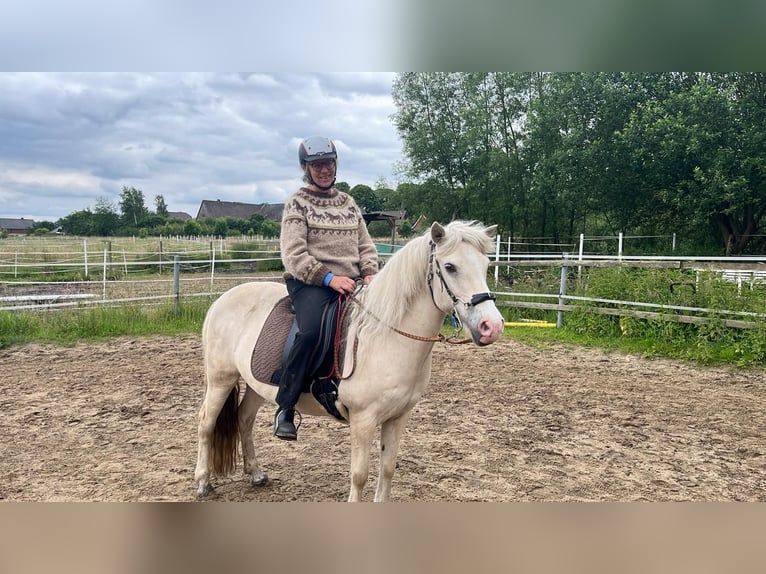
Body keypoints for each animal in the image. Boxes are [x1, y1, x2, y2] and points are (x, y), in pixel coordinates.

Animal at [193, 220, 505, 501]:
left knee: (244, 419)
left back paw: (256, 474)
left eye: (486, 265)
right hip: (221, 378)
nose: (491, 326)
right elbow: (360, 476)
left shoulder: (398, 417)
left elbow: (387, 470)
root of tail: (221, 300)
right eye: (450, 267)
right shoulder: (363, 419)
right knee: (206, 422)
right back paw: (203, 483)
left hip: (256, 385)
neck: (385, 337)